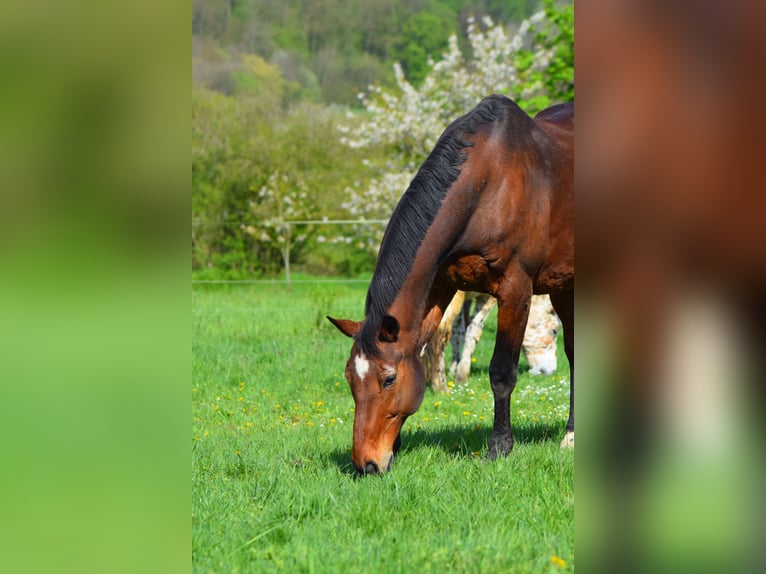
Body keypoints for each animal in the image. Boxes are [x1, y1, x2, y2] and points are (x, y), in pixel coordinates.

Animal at [328, 97, 572, 476]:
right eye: (350, 378)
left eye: (388, 379)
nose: (366, 464)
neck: (490, 183)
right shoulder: (440, 286)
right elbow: (426, 348)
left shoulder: (514, 289)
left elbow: (501, 372)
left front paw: (499, 448)